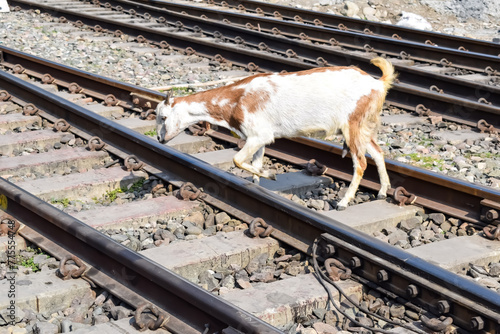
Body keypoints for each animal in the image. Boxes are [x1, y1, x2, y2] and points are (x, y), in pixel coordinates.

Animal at [154, 56, 396, 209]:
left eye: (163, 117)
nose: (159, 138)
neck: (235, 99)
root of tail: (378, 84)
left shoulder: (259, 134)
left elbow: (237, 159)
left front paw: (270, 175)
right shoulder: (258, 137)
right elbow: (255, 161)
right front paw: (256, 183)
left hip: (352, 124)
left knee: (361, 163)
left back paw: (343, 203)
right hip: (365, 126)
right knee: (378, 153)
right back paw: (383, 191)